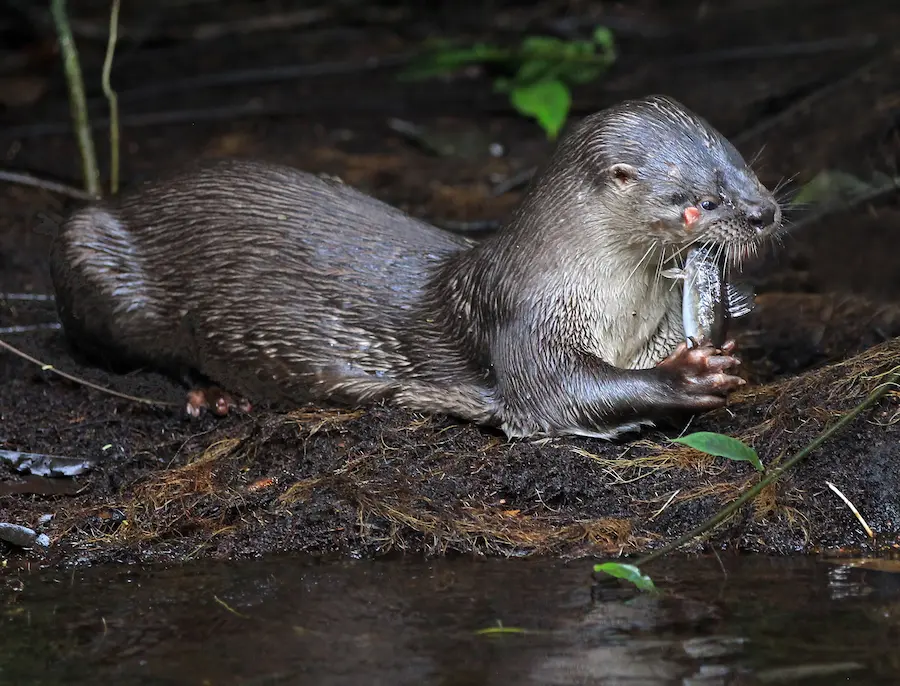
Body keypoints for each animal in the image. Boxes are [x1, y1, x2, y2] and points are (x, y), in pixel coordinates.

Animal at [49, 95, 780, 440]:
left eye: (747, 169)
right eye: (701, 201)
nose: (764, 213)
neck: (611, 305)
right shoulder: (526, 320)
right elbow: (556, 396)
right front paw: (686, 377)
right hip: (94, 259)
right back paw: (213, 395)